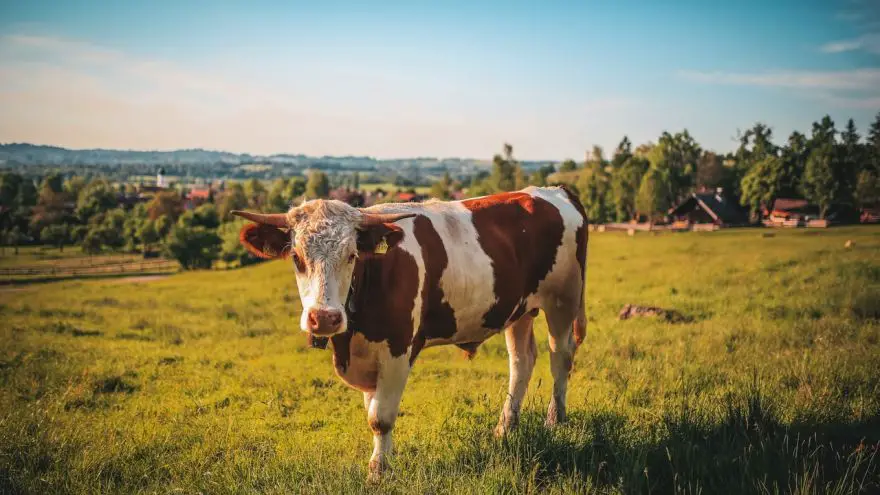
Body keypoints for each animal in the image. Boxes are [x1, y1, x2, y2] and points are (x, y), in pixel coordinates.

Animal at [234, 184, 588, 482]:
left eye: (351, 255)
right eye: (296, 258)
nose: (324, 318)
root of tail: (554, 190)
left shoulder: (398, 350)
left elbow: (380, 417)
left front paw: (378, 472)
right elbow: (372, 409)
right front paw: (381, 461)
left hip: (563, 299)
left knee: (560, 357)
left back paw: (555, 420)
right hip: (519, 309)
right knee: (521, 361)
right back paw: (505, 428)